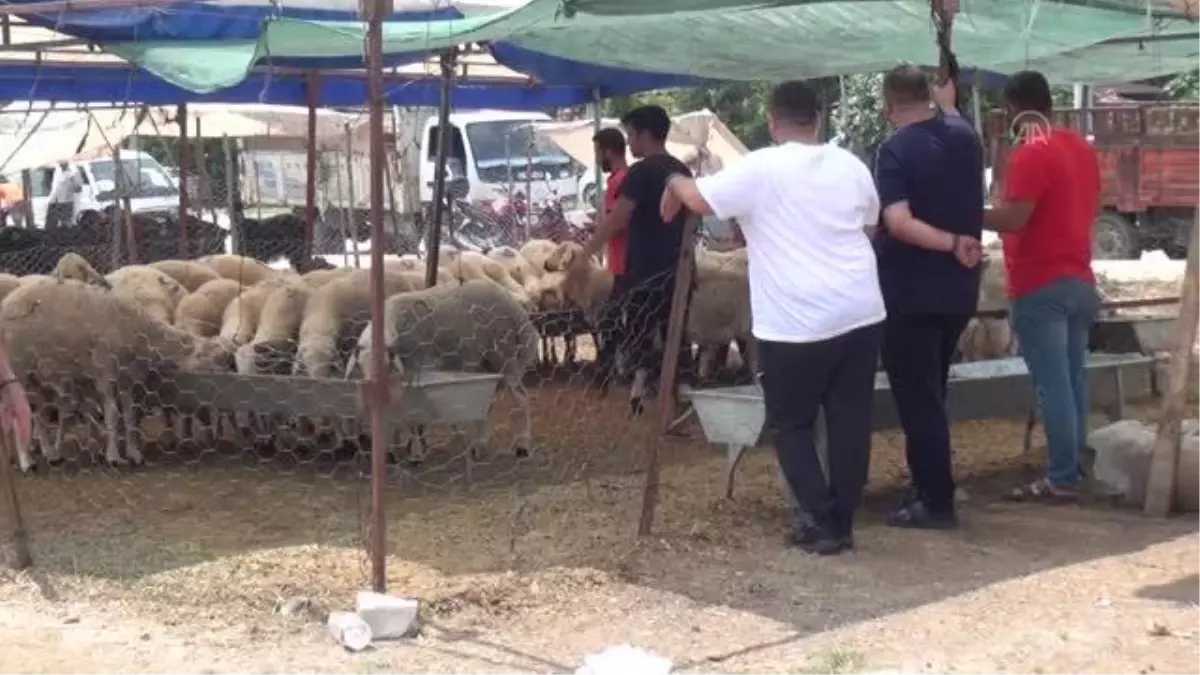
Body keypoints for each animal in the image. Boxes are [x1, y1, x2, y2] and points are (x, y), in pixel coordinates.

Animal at [1, 276, 234, 470]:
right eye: (215, 361)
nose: (226, 393)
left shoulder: (127, 378)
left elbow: (130, 416)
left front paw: (134, 453)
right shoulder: (106, 371)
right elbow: (112, 415)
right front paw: (113, 457)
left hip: (38, 375)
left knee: (38, 412)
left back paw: (50, 453)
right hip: (19, 368)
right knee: (23, 412)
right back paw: (27, 461)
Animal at [345, 277, 537, 456]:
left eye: (386, 363)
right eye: (360, 365)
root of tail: (516, 308)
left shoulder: (419, 372)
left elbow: (413, 416)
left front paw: (415, 452)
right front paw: (394, 448)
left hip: (505, 357)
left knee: (521, 399)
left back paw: (522, 446)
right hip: (485, 365)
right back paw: (478, 444)